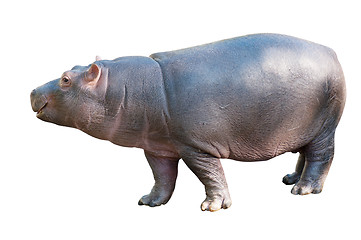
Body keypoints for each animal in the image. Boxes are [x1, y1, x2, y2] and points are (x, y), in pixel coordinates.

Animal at [31, 33, 346, 212]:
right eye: (69, 69)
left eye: (66, 79)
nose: (33, 90)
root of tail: (331, 51)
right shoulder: (157, 146)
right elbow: (162, 177)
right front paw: (149, 202)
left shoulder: (197, 146)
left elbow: (209, 174)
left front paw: (212, 207)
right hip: (304, 128)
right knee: (305, 153)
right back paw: (290, 179)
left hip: (325, 127)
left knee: (321, 156)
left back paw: (303, 190)